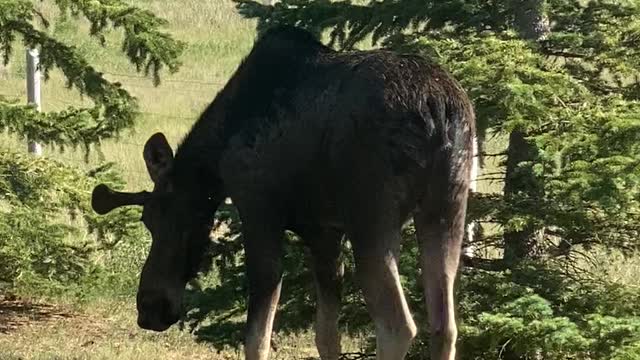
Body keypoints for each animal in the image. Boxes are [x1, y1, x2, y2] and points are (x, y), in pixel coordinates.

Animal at [94, 25, 476, 360]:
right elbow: (326, 337)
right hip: (448, 206)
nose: (150, 310)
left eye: (168, 219)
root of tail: (439, 110)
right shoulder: (324, 233)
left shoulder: (259, 210)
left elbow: (256, 338)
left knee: (398, 326)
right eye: (147, 221)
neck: (219, 151)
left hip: (372, 216)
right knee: (445, 326)